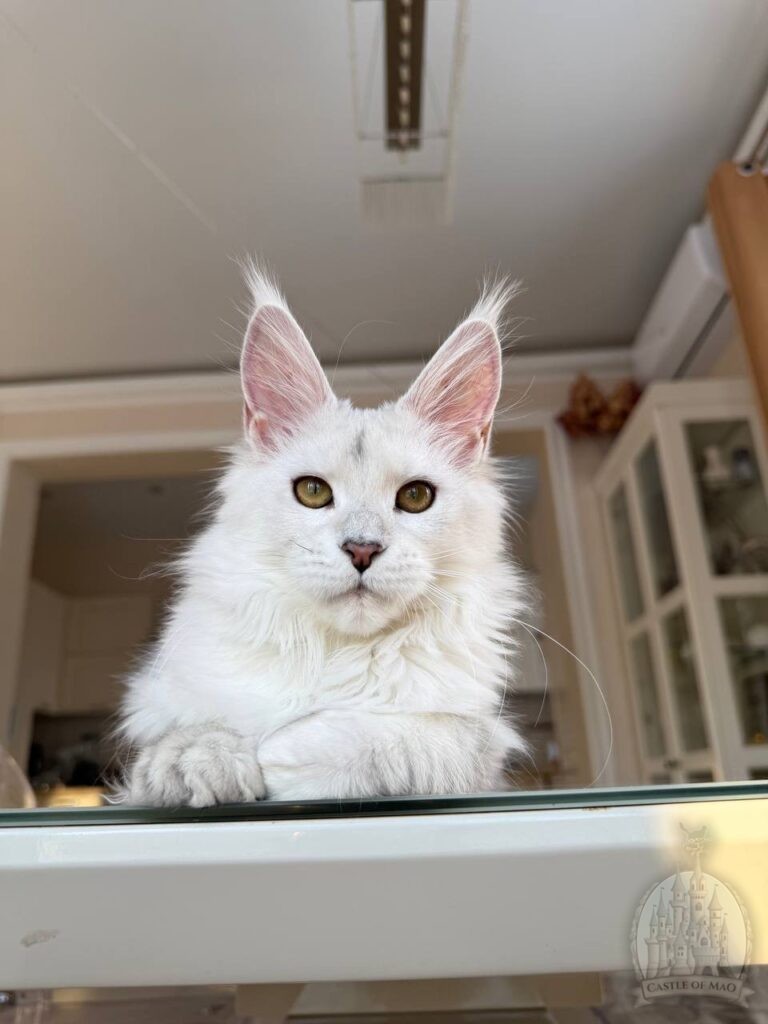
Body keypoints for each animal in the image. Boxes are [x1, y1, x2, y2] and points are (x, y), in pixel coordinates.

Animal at [120, 264, 528, 806]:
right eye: (313, 492)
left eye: (416, 497)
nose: (362, 549)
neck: (337, 652)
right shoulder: (160, 717)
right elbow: (181, 742)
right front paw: (206, 763)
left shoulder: (482, 745)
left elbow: (395, 736)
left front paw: (280, 756)